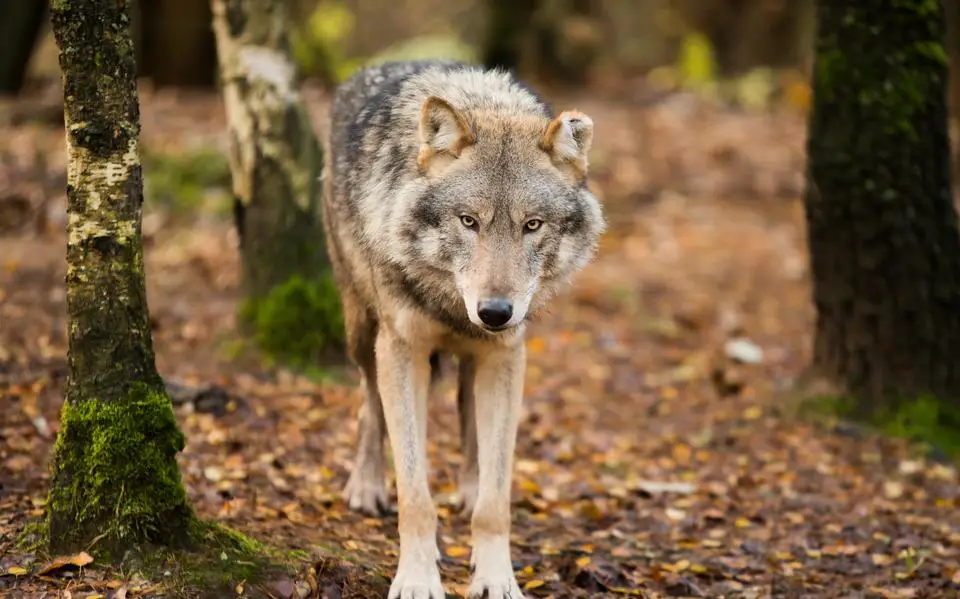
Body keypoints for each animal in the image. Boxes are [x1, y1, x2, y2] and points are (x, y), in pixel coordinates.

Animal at [322, 59, 605, 599]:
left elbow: (495, 502)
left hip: (481, 362)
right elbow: (415, 495)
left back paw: (469, 487)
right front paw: (416, 577)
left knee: (470, 420)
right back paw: (367, 484)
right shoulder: (402, 351)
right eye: (469, 221)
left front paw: (496, 577)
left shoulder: (507, 355)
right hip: (361, 332)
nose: (495, 312)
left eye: (532, 225)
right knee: (369, 404)